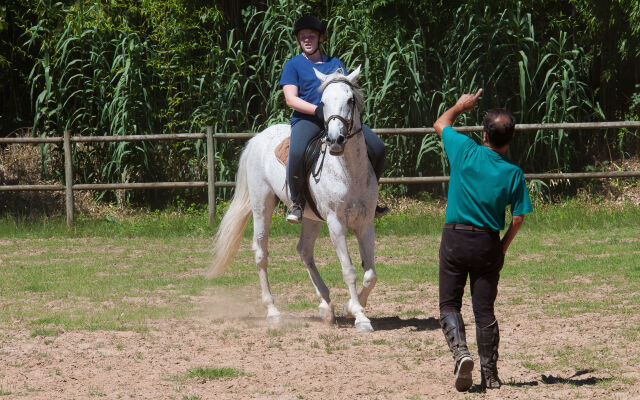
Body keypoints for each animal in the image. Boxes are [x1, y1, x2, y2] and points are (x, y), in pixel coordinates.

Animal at [210, 67, 378, 332]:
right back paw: (273, 312)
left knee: (304, 251)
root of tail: (258, 138)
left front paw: (350, 307)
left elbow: (370, 275)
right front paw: (360, 317)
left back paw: (326, 306)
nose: (335, 140)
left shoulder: (365, 222)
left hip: (312, 217)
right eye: (322, 102)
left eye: (351, 100)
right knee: (261, 252)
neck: (348, 171)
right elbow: (349, 270)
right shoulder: (336, 223)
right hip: (262, 205)